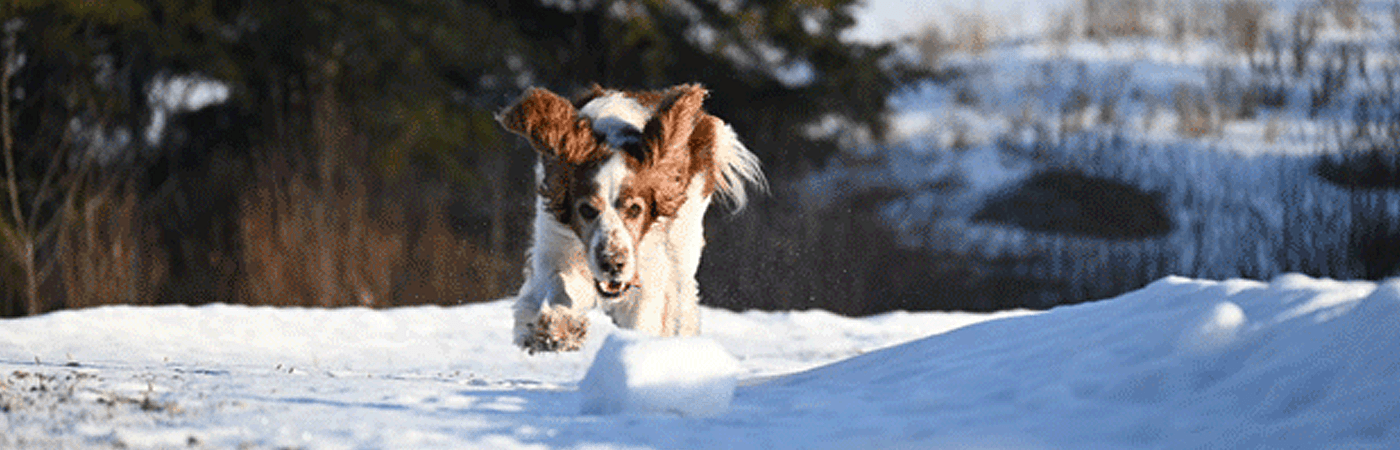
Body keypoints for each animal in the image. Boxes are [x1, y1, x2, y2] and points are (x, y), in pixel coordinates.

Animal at [498, 83, 767, 350]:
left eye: (635, 209)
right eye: (587, 210)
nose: (612, 264)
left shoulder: (650, 269)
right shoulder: (555, 244)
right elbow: (557, 285)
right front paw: (557, 329)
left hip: (683, 244)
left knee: (682, 298)